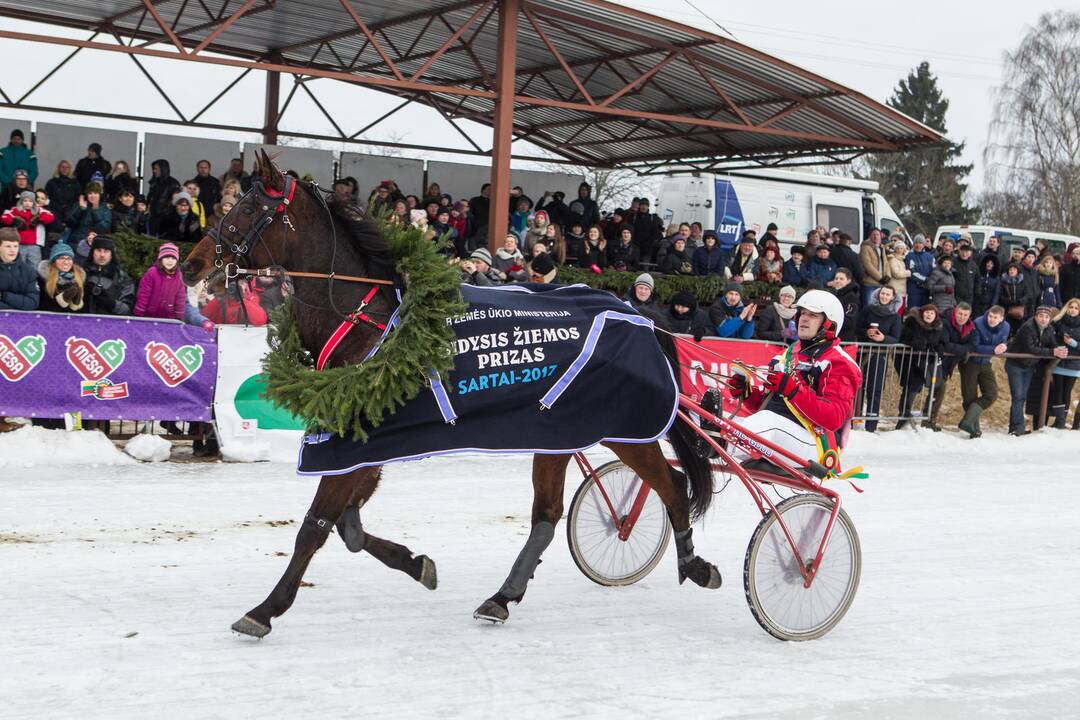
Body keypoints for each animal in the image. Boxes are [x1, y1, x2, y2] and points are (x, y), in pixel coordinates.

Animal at [181, 151, 721, 634]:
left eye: (248, 209)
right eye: (231, 201)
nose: (190, 264)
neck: (366, 319)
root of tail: (638, 314)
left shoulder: (356, 440)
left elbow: (315, 526)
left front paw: (265, 610)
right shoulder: (366, 446)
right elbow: (349, 528)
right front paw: (417, 563)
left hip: (624, 429)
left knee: (672, 486)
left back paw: (694, 564)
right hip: (557, 430)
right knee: (547, 515)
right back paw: (502, 597)